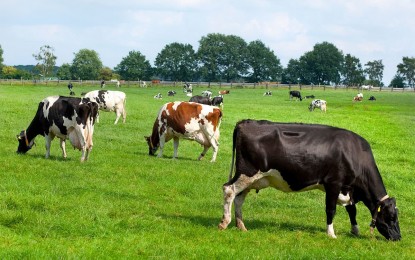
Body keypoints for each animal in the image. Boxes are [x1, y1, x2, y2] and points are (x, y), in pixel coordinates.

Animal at [219, 119, 402, 241]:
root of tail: (246, 122)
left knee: (239, 198)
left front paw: (355, 230)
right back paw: (224, 222)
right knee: (229, 190)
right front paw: (331, 233)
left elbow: (352, 210)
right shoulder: (333, 183)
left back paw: (241, 225)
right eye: (391, 217)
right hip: (246, 173)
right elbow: (331, 210)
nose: (398, 237)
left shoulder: (348, 188)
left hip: (250, 179)